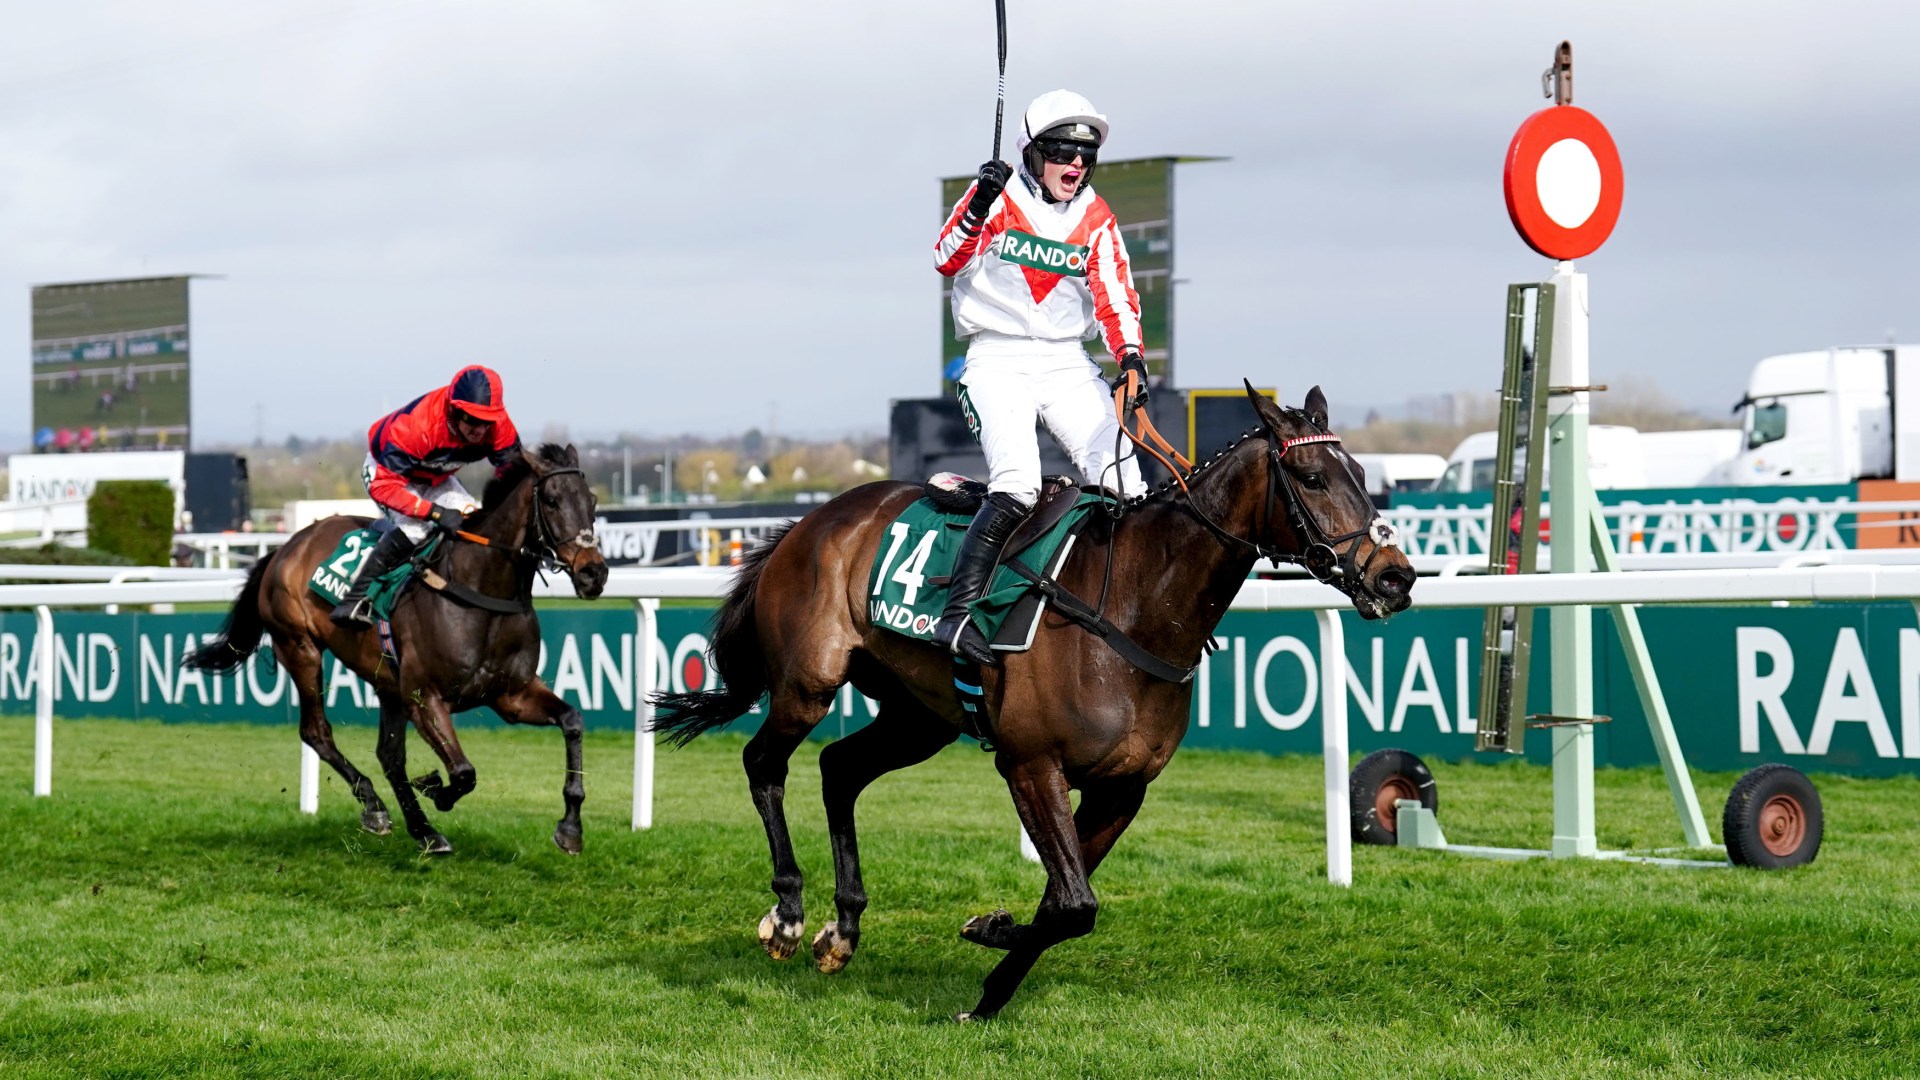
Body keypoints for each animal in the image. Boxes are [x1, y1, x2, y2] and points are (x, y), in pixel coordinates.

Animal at [185, 441, 606, 853]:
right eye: (551, 499)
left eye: (593, 500)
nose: (593, 572)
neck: (480, 591)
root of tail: (286, 546)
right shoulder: (423, 696)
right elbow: (463, 772)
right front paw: (436, 789)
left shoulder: (510, 695)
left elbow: (572, 721)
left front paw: (570, 827)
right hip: (300, 647)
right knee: (317, 732)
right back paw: (376, 808)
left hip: (386, 681)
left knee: (388, 755)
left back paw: (424, 831)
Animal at [652, 382, 1420, 1014]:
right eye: (1313, 478)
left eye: (1361, 477)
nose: (1394, 577)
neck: (1134, 608)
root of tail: (807, 524)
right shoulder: (1030, 762)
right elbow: (1075, 902)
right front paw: (989, 953)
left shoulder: (1123, 788)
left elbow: (1064, 903)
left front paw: (990, 965)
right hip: (808, 684)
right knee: (764, 764)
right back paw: (786, 913)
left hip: (918, 717)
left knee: (839, 769)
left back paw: (841, 928)